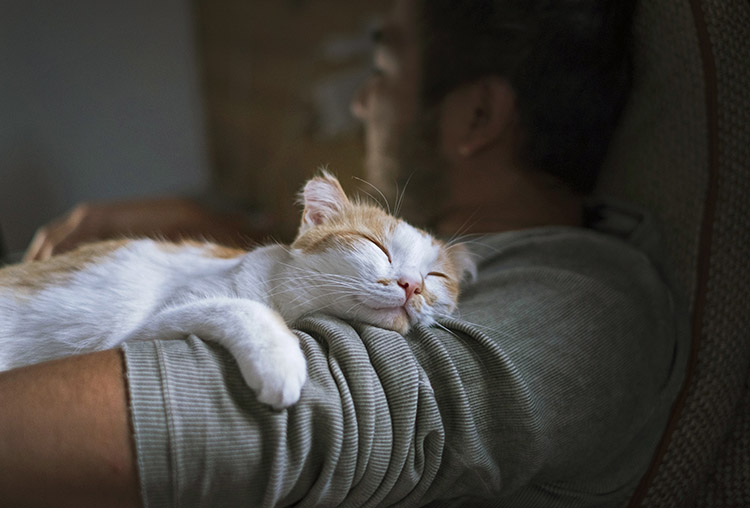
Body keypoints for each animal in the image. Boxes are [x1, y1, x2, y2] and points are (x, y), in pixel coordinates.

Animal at [0, 173, 478, 410]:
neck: (283, 292)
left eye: (436, 277)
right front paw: (280, 363)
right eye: (375, 245)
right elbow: (244, 307)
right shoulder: (144, 327)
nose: (412, 285)